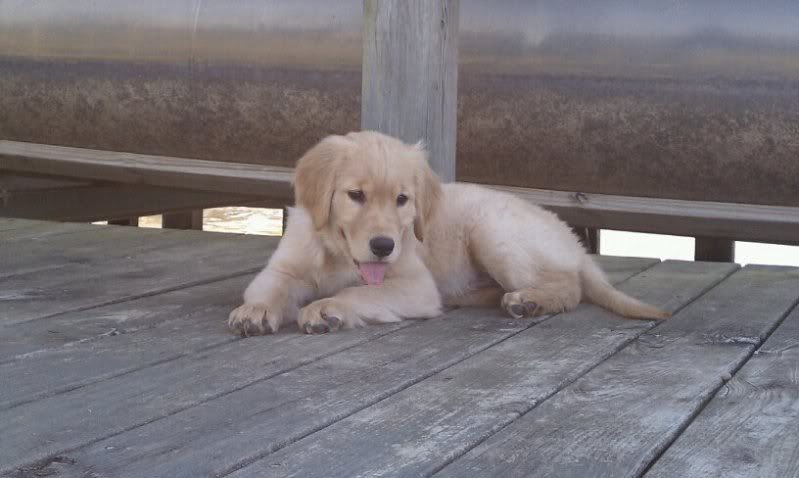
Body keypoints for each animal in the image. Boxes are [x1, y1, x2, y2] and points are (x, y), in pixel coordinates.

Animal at [229, 131, 668, 335]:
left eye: (402, 200)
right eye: (356, 195)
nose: (384, 246)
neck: (337, 253)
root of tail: (573, 241)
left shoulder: (415, 285)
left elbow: (358, 292)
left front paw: (326, 308)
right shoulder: (283, 268)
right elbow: (269, 288)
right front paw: (256, 311)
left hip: (493, 231)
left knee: (569, 286)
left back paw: (528, 301)